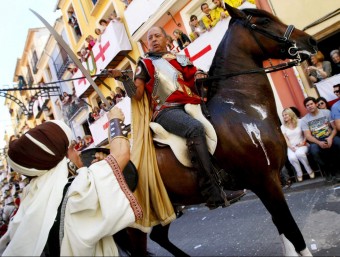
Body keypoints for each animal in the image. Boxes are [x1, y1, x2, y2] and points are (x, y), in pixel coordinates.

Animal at [125, 4, 318, 256]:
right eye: (265, 22)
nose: (310, 42)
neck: (242, 105)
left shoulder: (270, 180)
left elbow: (283, 228)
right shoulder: (266, 181)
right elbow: (293, 232)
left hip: (166, 206)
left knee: (159, 237)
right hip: (137, 222)